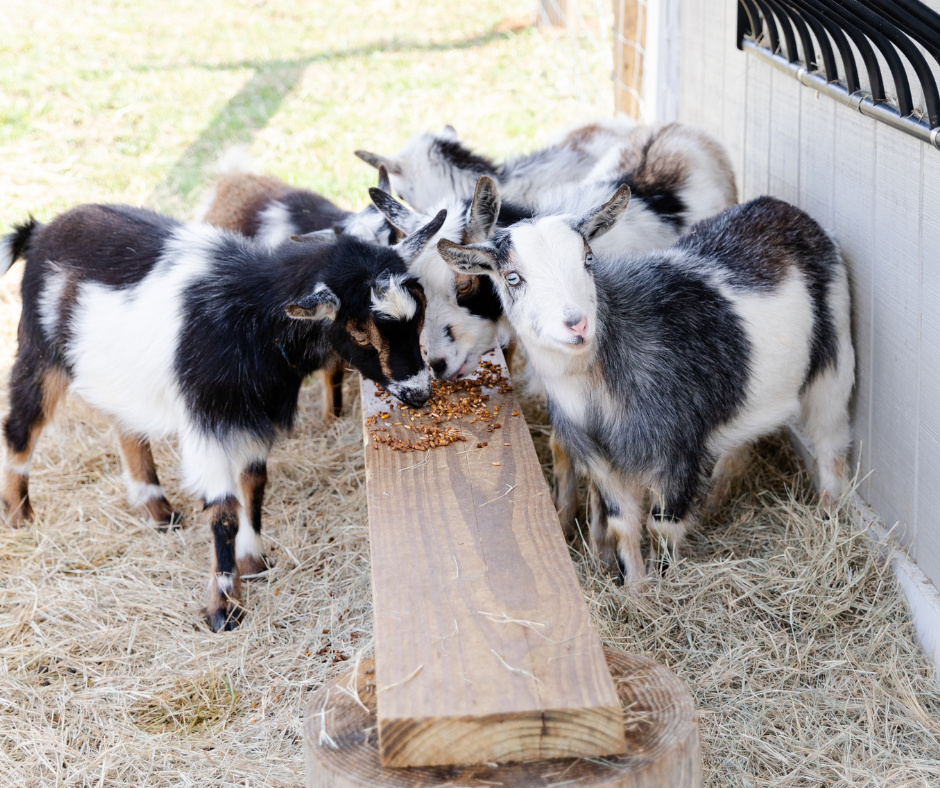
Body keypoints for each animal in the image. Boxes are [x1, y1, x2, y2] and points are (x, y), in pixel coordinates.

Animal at [0, 203, 444, 630]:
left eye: (420, 312)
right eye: (359, 331)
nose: (419, 393)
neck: (250, 317)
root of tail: (39, 232)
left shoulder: (252, 418)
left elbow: (254, 485)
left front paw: (253, 563)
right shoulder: (207, 421)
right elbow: (224, 510)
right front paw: (224, 607)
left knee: (127, 426)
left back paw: (158, 510)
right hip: (40, 353)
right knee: (21, 426)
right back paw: (20, 516)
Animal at [438, 190, 854, 586]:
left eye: (588, 259)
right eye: (512, 277)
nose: (577, 324)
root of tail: (783, 208)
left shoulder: (678, 451)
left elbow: (661, 525)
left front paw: (665, 586)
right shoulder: (603, 464)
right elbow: (623, 523)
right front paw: (636, 589)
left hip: (833, 365)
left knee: (831, 443)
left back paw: (828, 516)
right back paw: (715, 502)